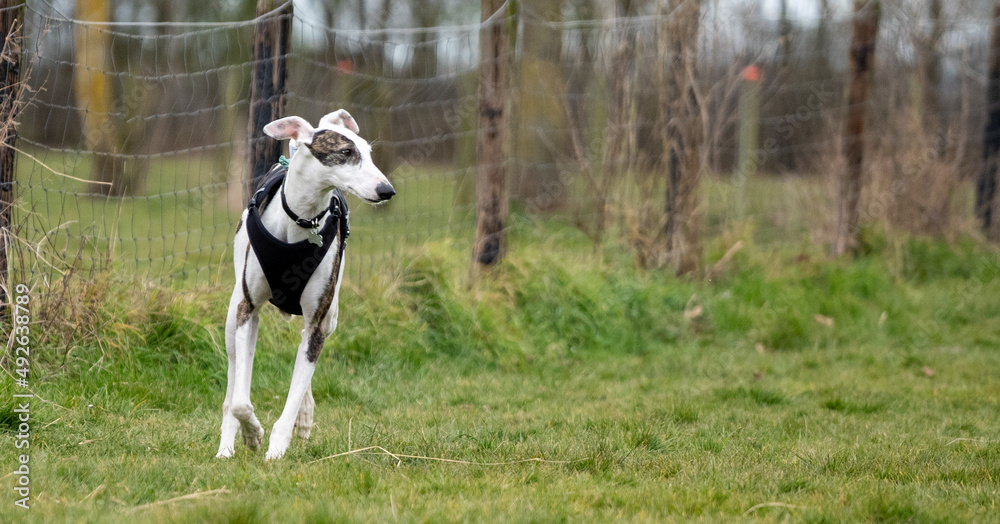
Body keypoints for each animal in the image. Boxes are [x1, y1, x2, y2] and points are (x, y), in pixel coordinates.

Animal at [216, 109, 394, 458]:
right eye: (346, 152)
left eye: (368, 152)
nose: (386, 190)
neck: (301, 220)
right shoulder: (247, 309)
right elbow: (241, 400)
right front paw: (252, 434)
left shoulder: (317, 320)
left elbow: (298, 381)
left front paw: (275, 448)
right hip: (234, 317)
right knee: (234, 380)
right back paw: (226, 446)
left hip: (331, 316)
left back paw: (305, 415)